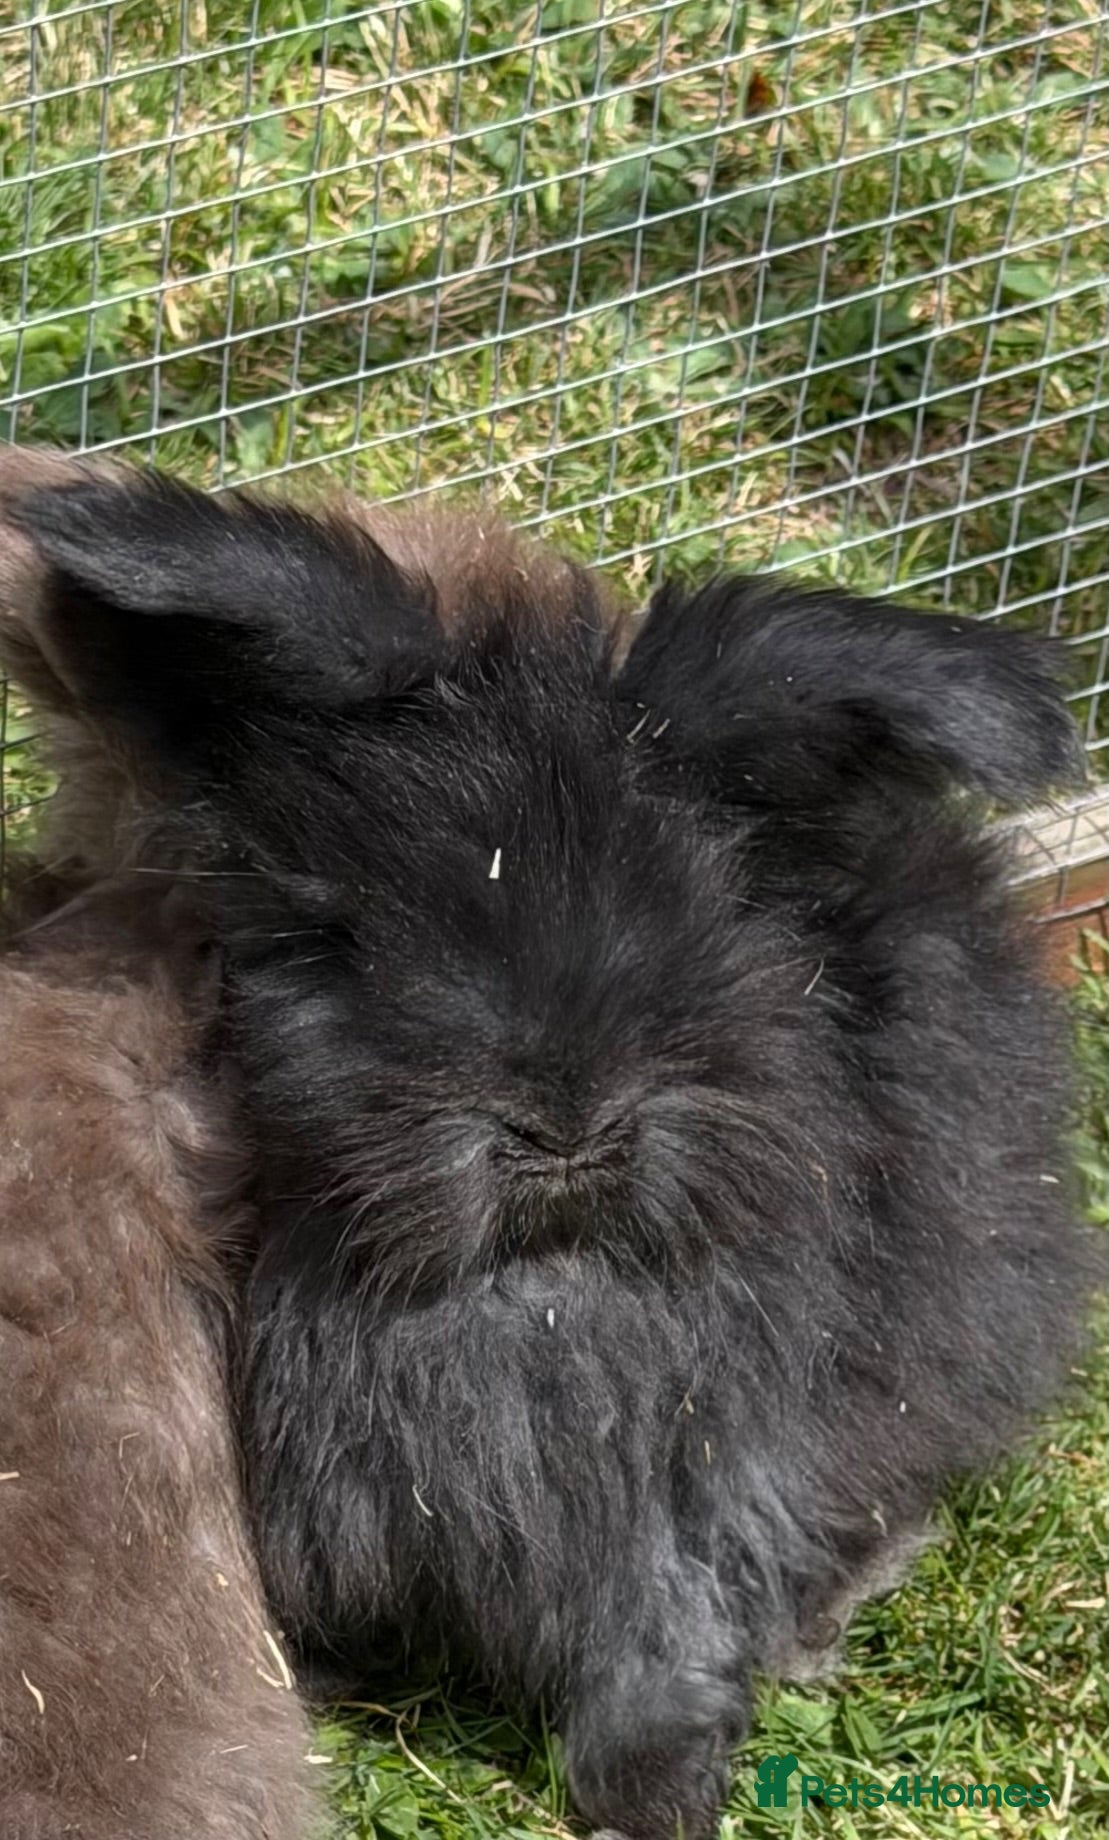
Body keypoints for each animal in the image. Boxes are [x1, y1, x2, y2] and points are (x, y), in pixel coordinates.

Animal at [0, 451, 1096, 1840]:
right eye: (335, 935)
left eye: (712, 917)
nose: (567, 1123)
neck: (525, 1299)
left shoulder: (699, 1463)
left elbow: (663, 1619)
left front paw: (653, 1797)